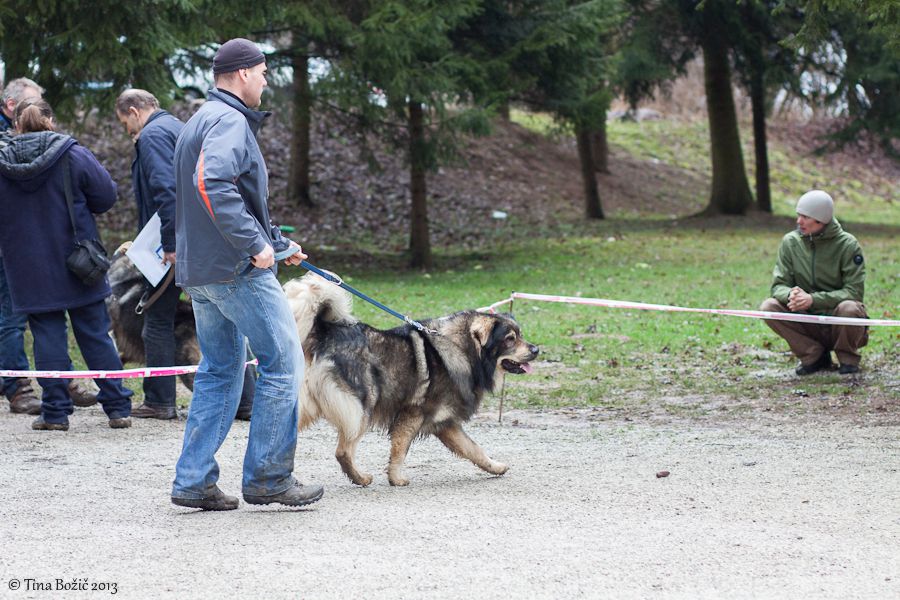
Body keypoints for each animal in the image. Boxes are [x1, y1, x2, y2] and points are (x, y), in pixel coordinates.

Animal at [284, 272, 536, 488]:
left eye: (520, 335)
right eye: (510, 339)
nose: (536, 350)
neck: (460, 348)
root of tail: (323, 333)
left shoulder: (446, 423)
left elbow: (474, 449)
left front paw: (496, 467)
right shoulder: (412, 414)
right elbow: (400, 449)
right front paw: (396, 478)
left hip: (311, 404)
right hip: (362, 405)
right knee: (343, 451)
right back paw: (360, 478)